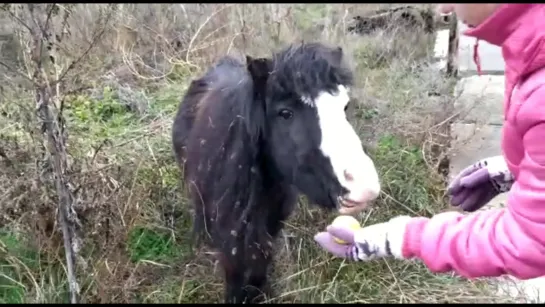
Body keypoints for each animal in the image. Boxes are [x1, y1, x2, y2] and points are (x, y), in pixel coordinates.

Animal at [172, 42, 380, 304]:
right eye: (285, 113)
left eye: (344, 106)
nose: (364, 186)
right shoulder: (229, 233)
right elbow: (235, 268)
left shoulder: (270, 224)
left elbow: (261, 259)